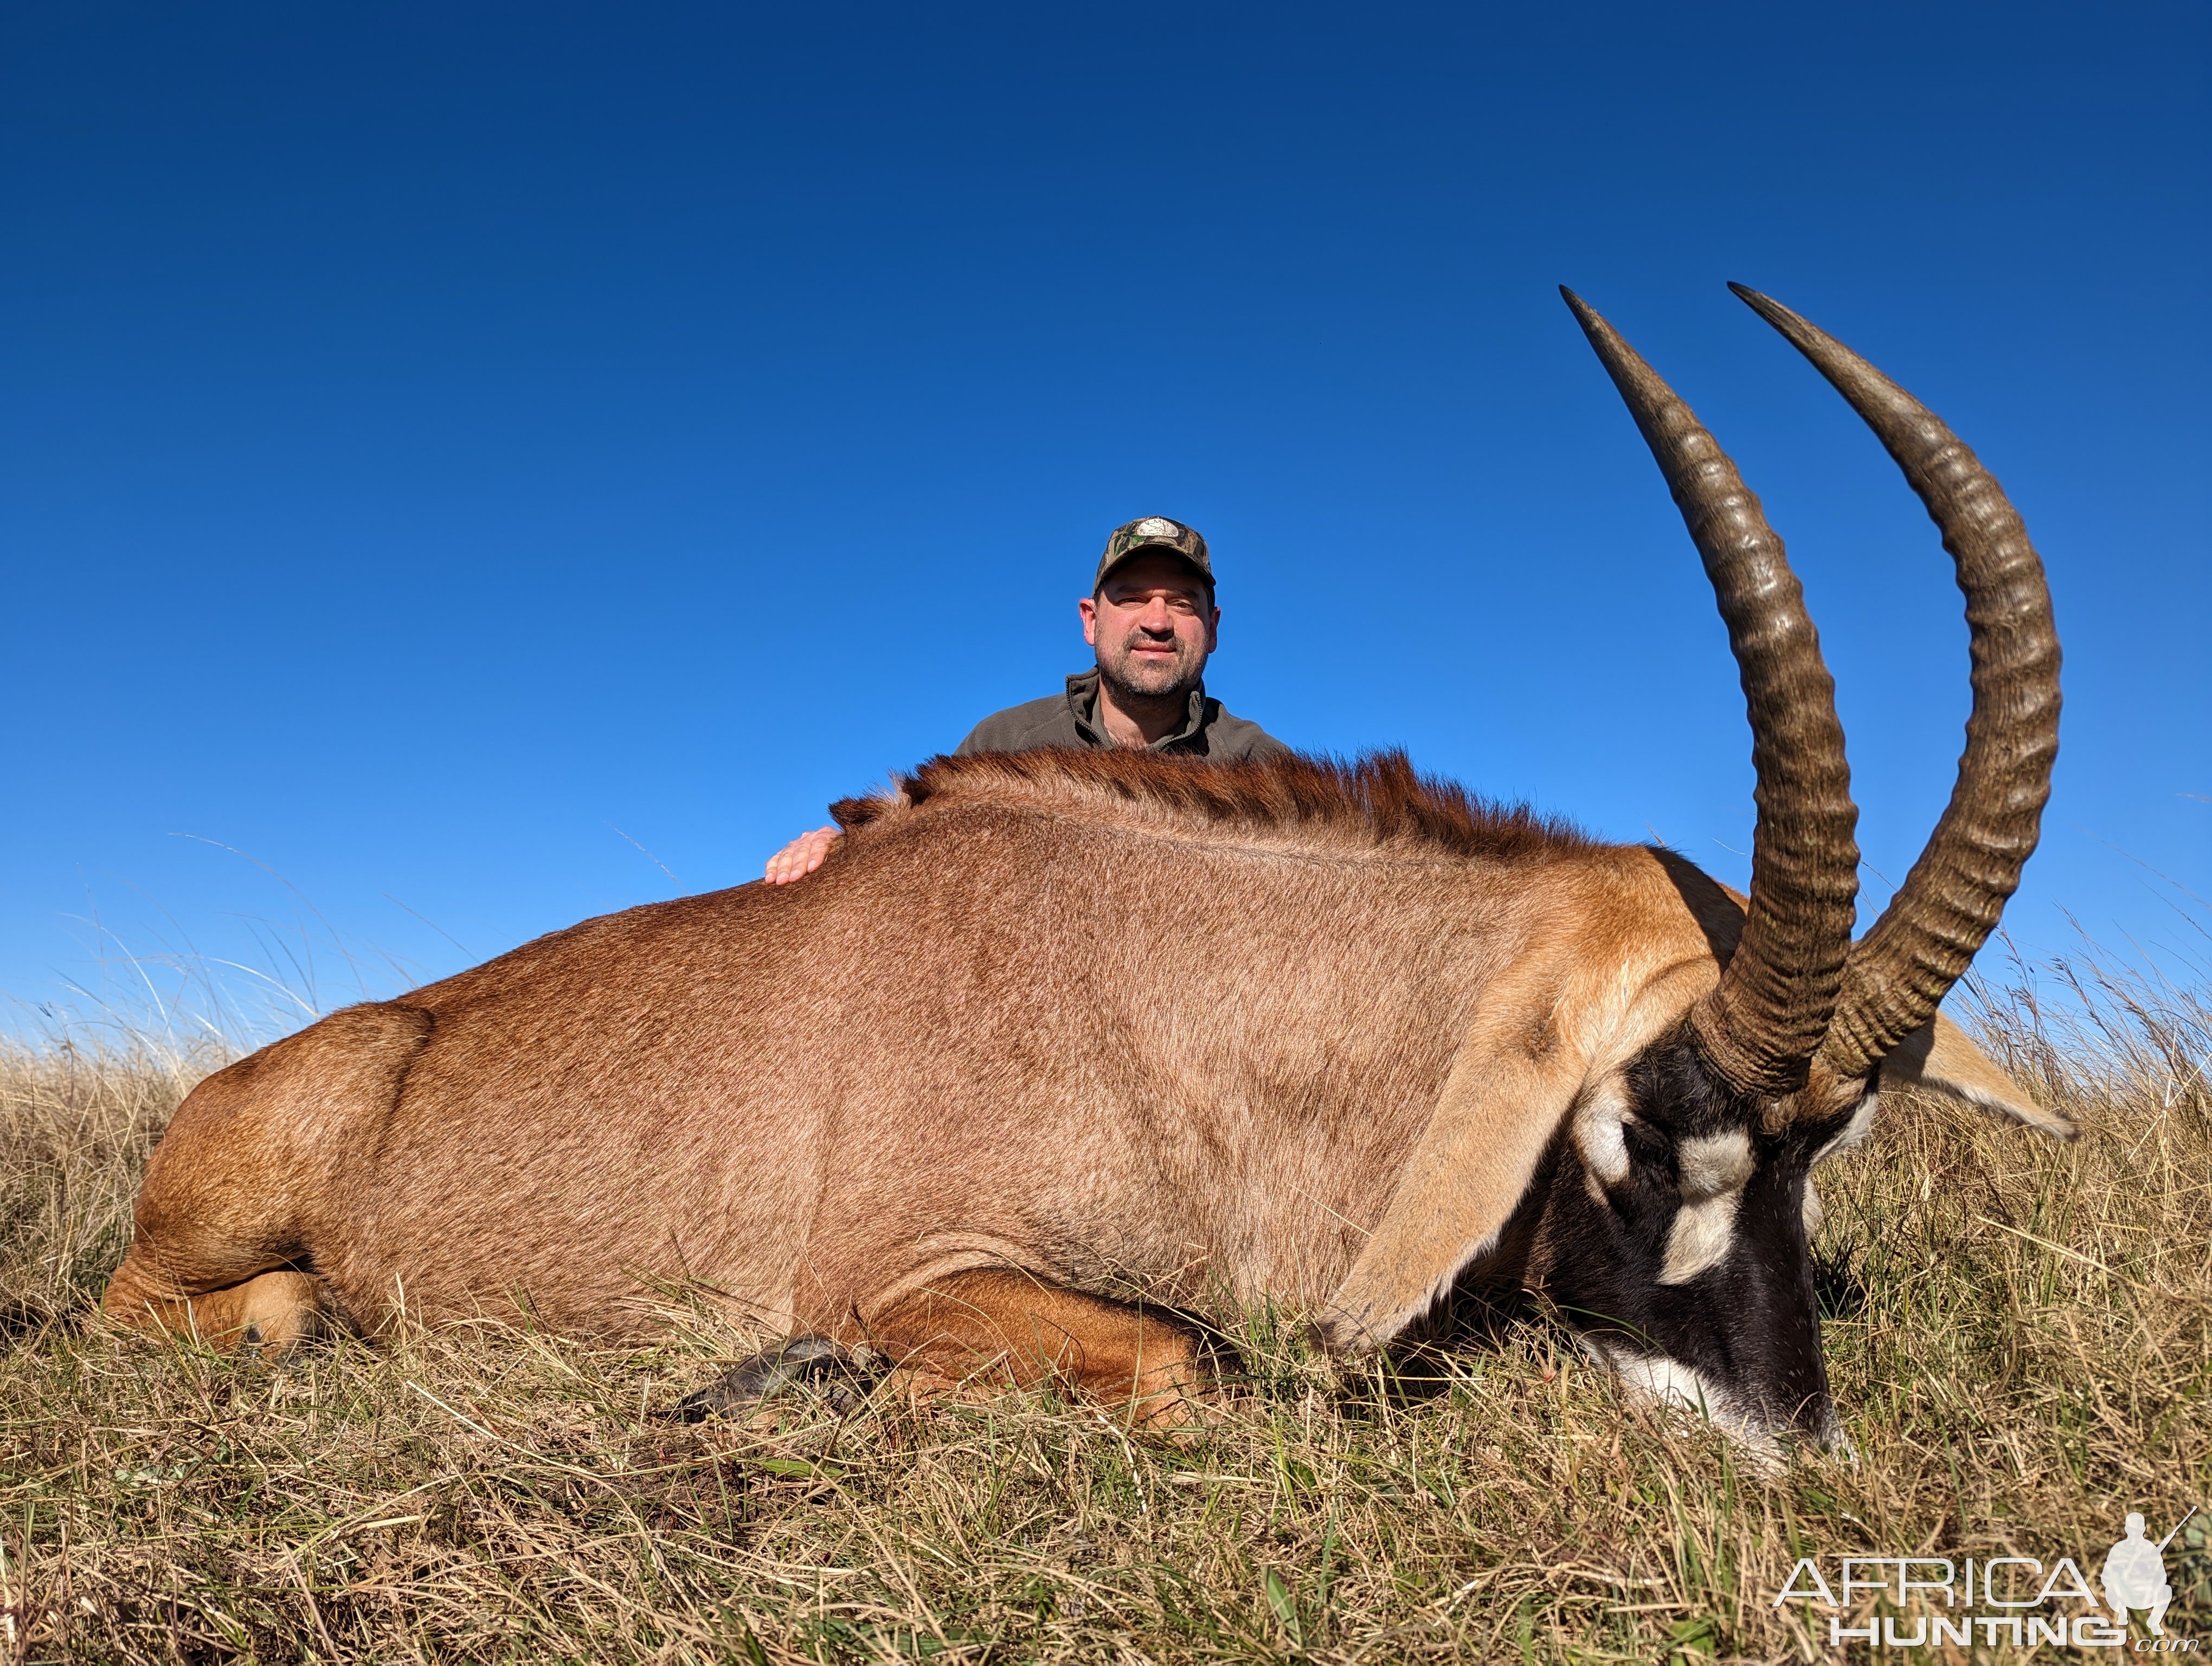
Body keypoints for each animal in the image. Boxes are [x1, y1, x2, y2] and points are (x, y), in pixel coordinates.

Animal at [104, 290, 2061, 1451]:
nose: (1789, 1455)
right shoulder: (908, 1272)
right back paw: (301, 1327)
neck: (1182, 996)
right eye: (1645, 1134)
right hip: (213, 1225)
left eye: (1828, 1152)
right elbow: (1193, 1358)